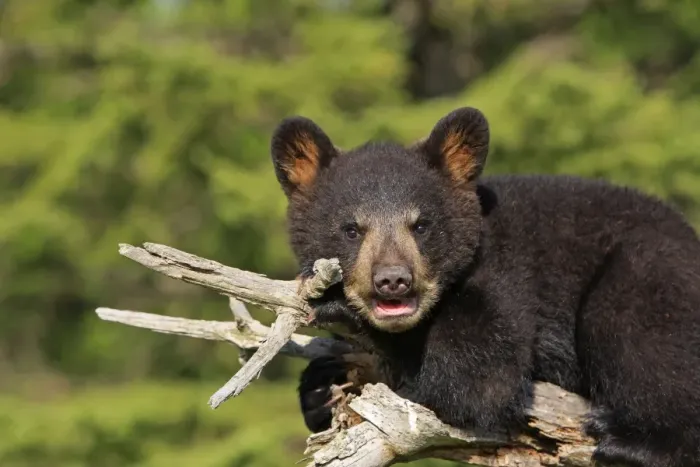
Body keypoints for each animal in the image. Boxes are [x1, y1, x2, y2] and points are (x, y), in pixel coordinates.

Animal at [270, 107, 700, 467]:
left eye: (421, 225)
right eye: (351, 229)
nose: (392, 279)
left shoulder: (502, 274)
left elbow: (475, 382)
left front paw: (342, 315)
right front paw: (320, 388)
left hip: (649, 269)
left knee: (638, 334)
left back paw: (630, 441)